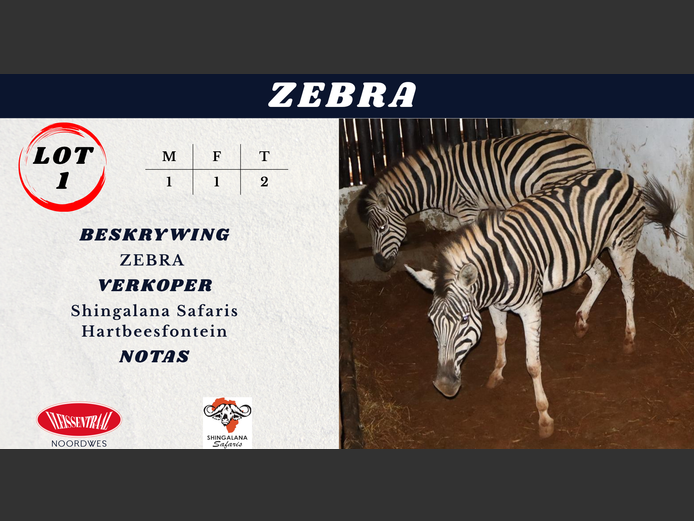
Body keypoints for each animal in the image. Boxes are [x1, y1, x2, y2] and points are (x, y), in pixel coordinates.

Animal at [358, 129, 596, 271]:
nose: (379, 264)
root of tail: (581, 143)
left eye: (381, 227)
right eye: (370, 229)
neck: (438, 182)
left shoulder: (466, 209)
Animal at [405, 169, 681, 438]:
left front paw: (544, 417)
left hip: (623, 245)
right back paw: (582, 320)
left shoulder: (531, 309)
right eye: (431, 321)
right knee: (602, 275)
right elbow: (500, 338)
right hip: (583, 253)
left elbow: (533, 365)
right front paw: (497, 373)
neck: (496, 274)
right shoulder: (494, 307)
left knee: (628, 288)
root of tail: (622, 174)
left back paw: (629, 336)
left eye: (463, 320)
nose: (444, 386)